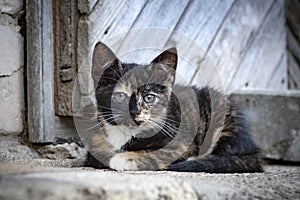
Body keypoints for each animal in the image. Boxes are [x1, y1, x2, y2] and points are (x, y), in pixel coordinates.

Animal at [88, 41, 264, 173]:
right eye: (120, 96)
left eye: (149, 97)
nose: (134, 112)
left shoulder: (181, 142)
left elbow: (159, 152)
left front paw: (126, 157)